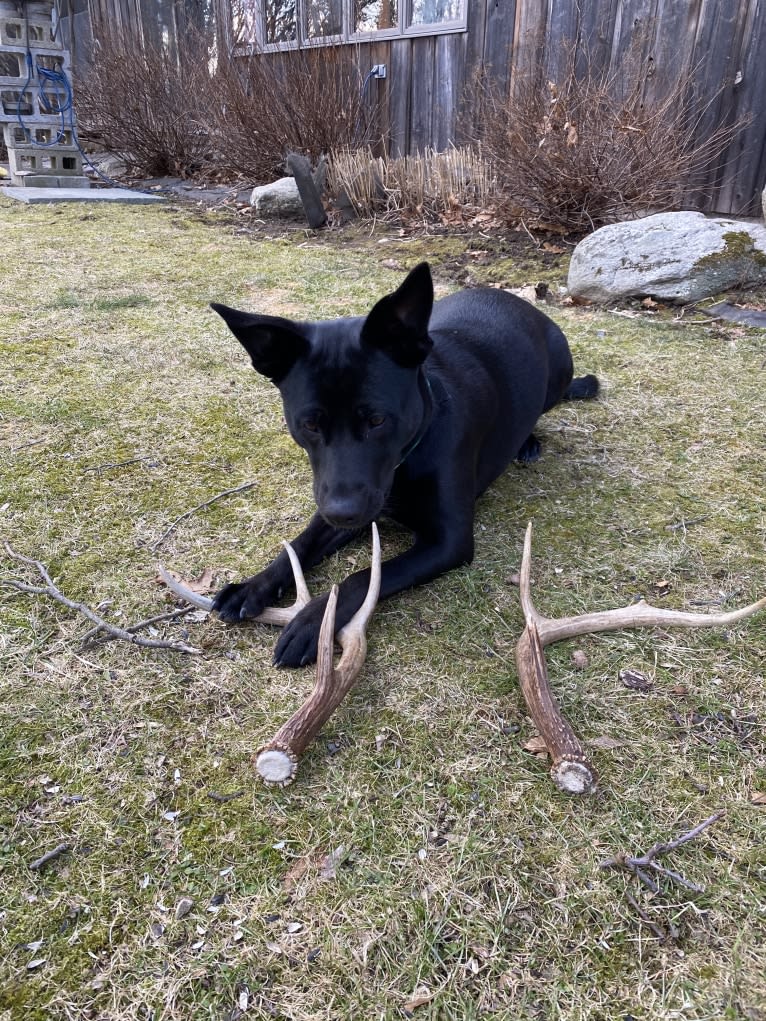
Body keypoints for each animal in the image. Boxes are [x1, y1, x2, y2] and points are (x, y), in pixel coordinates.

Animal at [210, 259, 600, 665]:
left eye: (378, 420)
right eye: (310, 424)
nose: (343, 513)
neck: (408, 456)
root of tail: (521, 303)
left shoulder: (448, 541)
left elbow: (365, 577)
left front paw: (313, 622)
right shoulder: (341, 500)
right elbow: (298, 546)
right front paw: (253, 585)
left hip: (558, 371)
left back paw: (528, 442)